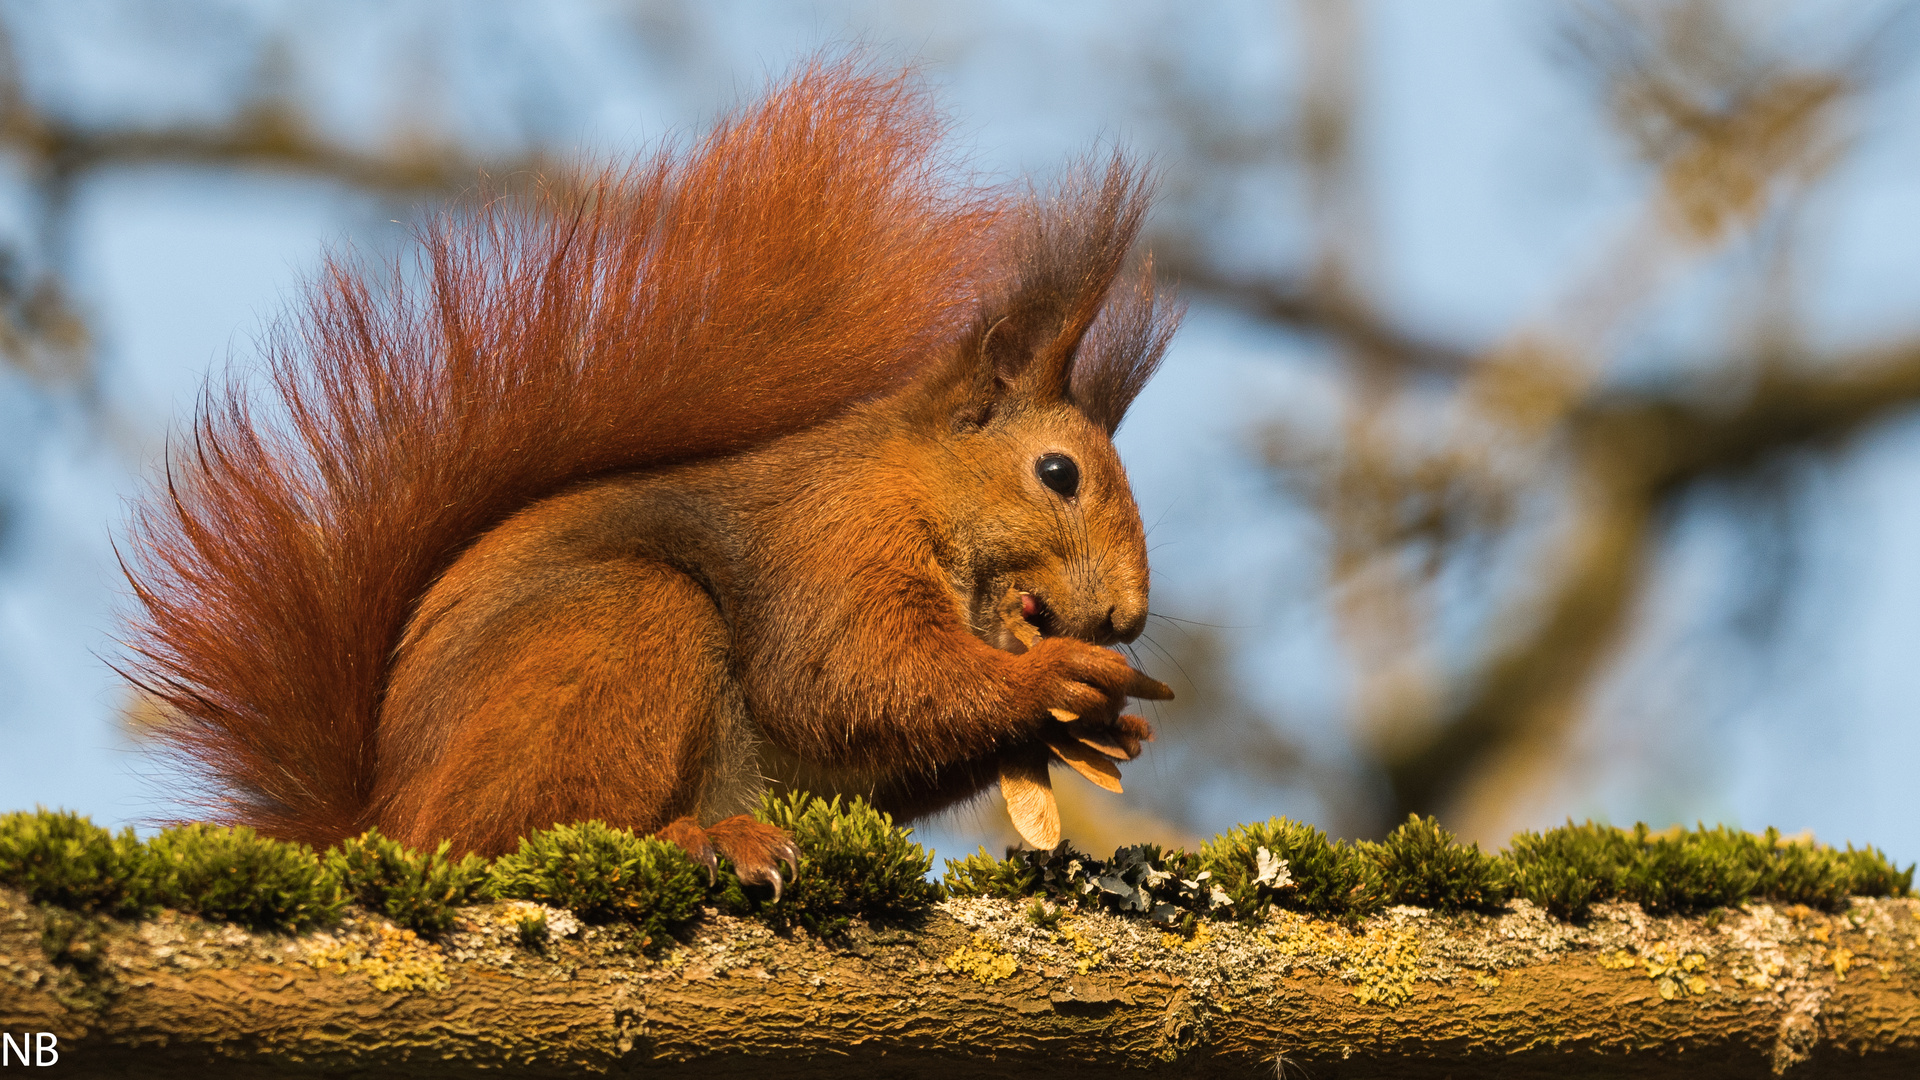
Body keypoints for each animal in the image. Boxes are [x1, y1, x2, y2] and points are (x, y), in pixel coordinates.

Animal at [123, 58, 1167, 887]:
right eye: (1059, 473)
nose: (1127, 619)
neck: (916, 487)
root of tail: (380, 824)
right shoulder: (832, 540)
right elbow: (847, 680)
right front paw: (1056, 680)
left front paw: (1084, 729)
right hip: (624, 632)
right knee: (513, 837)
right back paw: (698, 842)